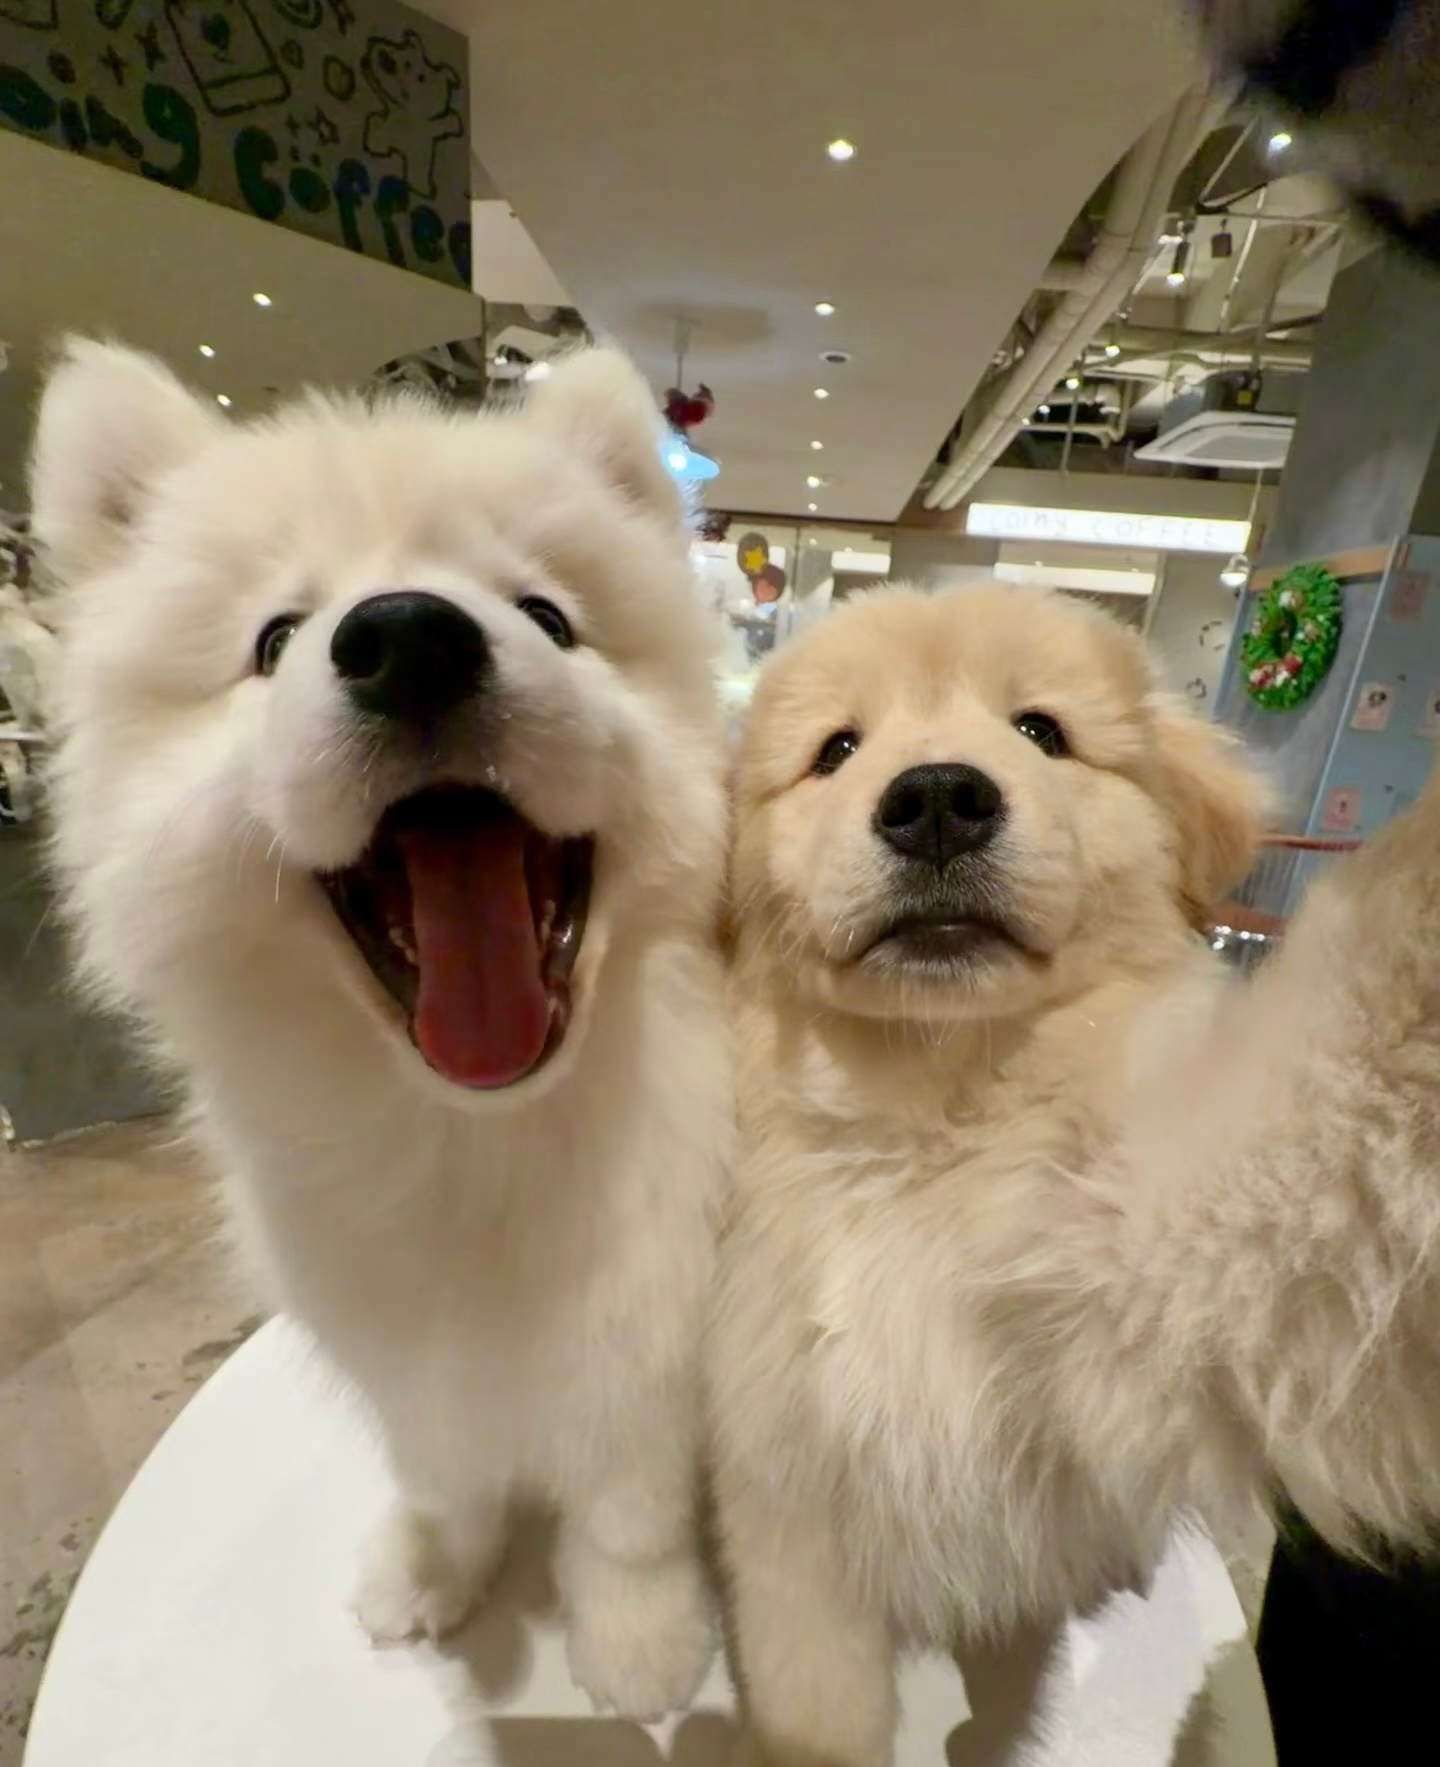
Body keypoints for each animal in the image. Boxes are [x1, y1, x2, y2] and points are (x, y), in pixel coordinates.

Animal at [31, 342, 730, 1720]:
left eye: (549, 615)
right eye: (274, 639)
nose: (409, 638)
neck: (474, 1138)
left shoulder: (654, 1337)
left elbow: (626, 1514)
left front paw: (639, 1648)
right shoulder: (397, 1347)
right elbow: (444, 1475)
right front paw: (429, 1572)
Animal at [711, 583, 1440, 1765]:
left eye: (1040, 732)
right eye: (837, 751)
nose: (938, 799)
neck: (941, 1124)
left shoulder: (1216, 1268)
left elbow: (1354, 1083)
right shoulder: (791, 1503)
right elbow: (815, 1700)